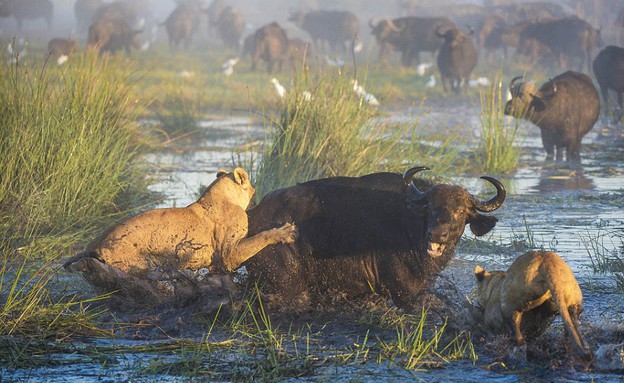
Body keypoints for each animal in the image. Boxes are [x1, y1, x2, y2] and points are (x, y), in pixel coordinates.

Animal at [64, 168, 298, 306]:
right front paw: (284, 232)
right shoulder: (229, 254)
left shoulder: (218, 263)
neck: (221, 196)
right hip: (136, 269)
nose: (255, 200)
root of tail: (92, 247)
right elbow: (259, 238)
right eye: (253, 190)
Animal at [244, 166, 508, 310]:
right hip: (288, 284)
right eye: (431, 206)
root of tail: (254, 217)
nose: (436, 234)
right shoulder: (406, 293)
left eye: (461, 211)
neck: (411, 226)